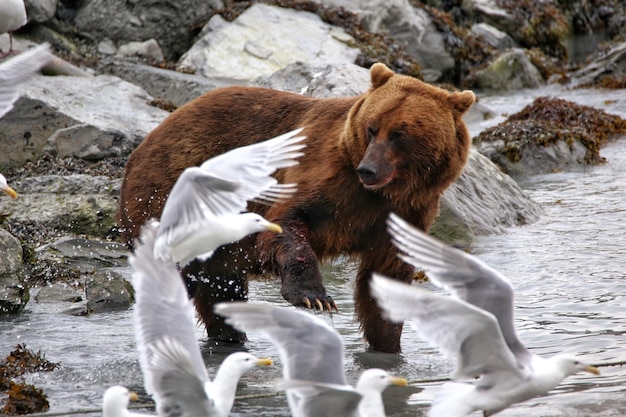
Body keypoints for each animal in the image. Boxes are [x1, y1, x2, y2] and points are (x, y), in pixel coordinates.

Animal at [118, 63, 472, 352]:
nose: (368, 170)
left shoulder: (405, 212)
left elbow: (387, 273)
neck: (381, 194)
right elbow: (287, 223)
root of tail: (141, 147)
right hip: (169, 200)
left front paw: (387, 342)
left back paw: (228, 337)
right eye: (372, 128)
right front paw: (315, 297)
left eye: (400, 134)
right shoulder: (323, 176)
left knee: (221, 290)